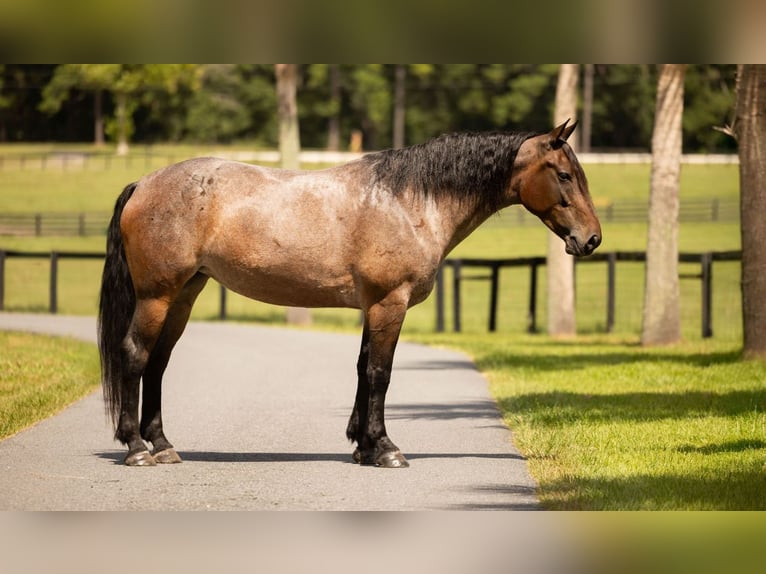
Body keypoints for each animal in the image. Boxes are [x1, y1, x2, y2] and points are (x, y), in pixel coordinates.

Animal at [98, 120, 601, 468]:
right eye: (563, 175)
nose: (591, 239)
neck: (409, 202)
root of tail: (143, 183)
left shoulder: (371, 306)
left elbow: (362, 368)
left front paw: (362, 445)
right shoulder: (389, 303)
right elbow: (380, 373)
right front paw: (386, 449)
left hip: (183, 295)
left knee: (158, 362)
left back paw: (163, 445)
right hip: (157, 296)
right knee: (135, 355)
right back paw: (137, 447)